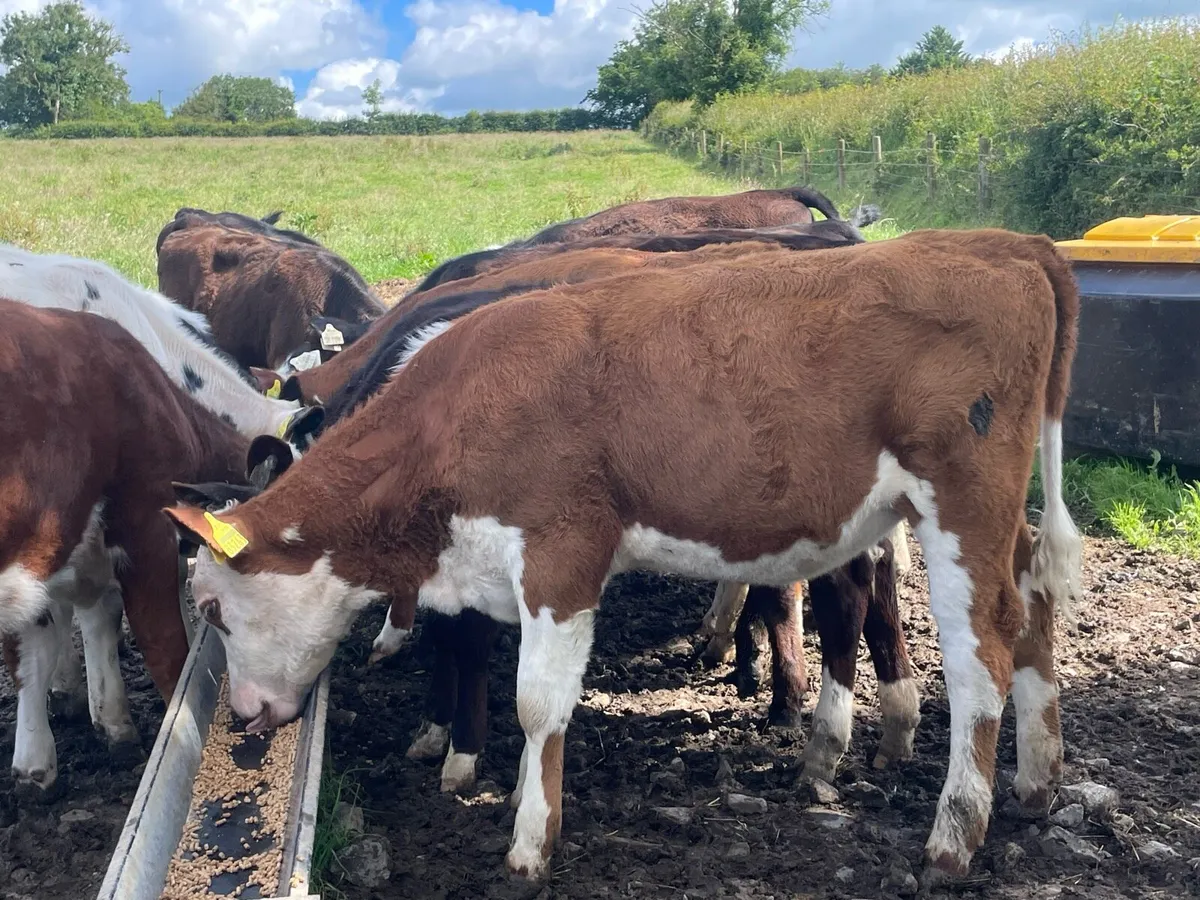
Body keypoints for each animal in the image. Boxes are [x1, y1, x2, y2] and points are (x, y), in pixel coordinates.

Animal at [0, 300, 249, 799]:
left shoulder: (51, 555)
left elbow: (39, 651)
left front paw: (49, 756)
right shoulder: (144, 526)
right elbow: (164, 646)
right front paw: (182, 728)